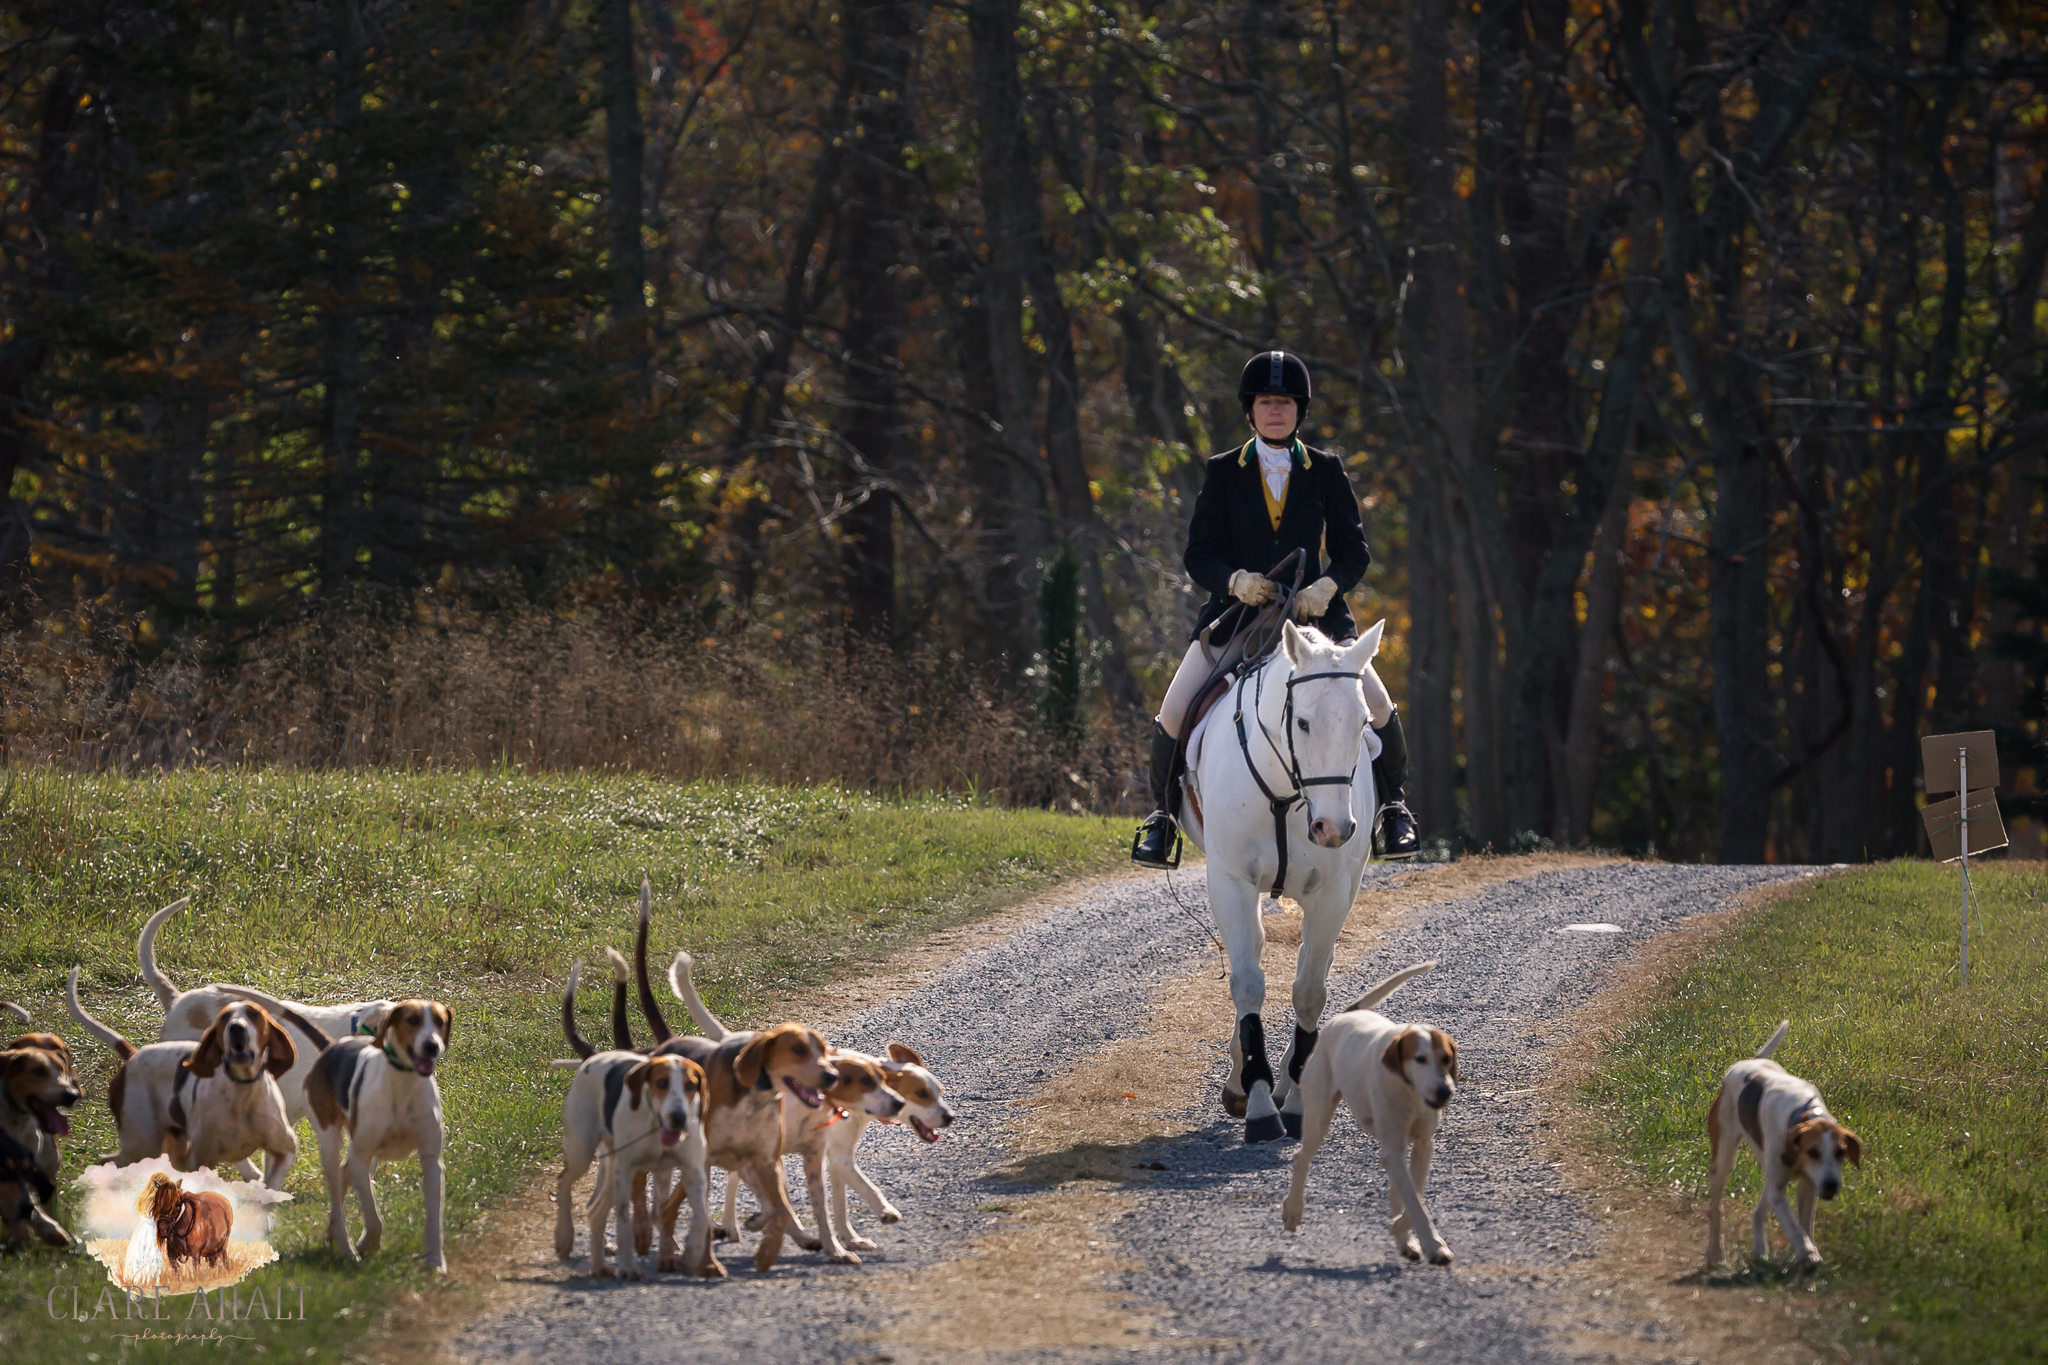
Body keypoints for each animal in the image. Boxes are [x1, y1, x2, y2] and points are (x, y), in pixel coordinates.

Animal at [1179, 618, 1384, 1146]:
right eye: (1304, 722)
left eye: (1363, 722)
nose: (1332, 829)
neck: (1287, 790)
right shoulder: (1230, 880)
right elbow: (1248, 982)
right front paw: (1256, 1102)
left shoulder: (1333, 894)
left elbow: (1310, 990)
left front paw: (1293, 1104)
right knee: (1251, 952)